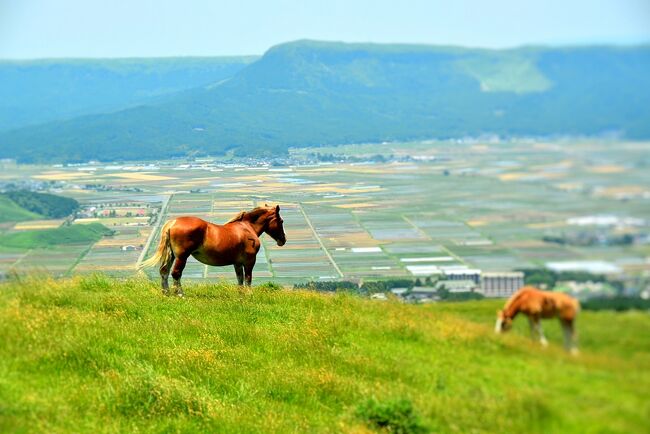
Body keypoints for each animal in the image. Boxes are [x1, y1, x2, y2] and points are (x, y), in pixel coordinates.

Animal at [138, 204, 284, 294]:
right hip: (181, 257)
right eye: (281, 221)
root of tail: (172, 223)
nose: (283, 240)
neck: (246, 228)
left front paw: (241, 295)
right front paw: (248, 294)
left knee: (164, 272)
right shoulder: (249, 261)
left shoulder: (237, 263)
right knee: (176, 273)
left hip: (172, 255)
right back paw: (180, 294)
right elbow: (248, 278)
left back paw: (166, 293)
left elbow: (240, 279)